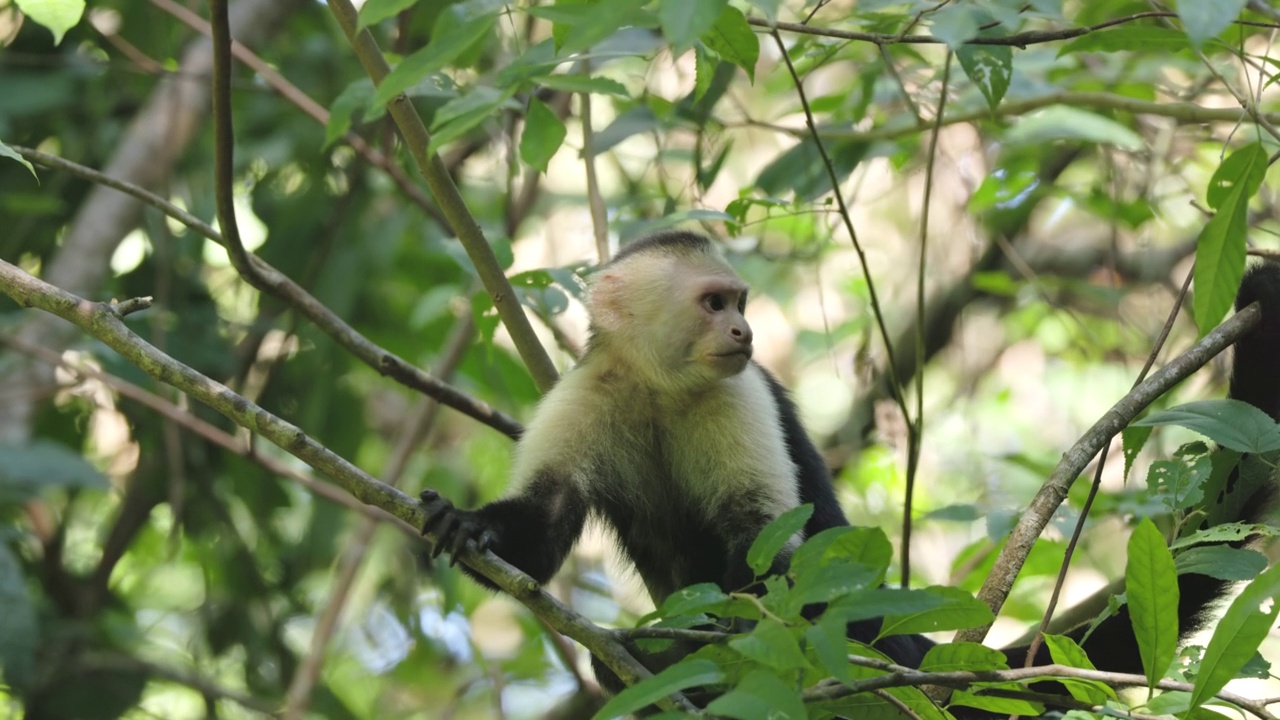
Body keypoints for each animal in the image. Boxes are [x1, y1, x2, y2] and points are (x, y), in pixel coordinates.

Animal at [419, 234, 1280, 712]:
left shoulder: (739, 394)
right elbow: (543, 530)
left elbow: (770, 549)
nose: (744, 330)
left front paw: (718, 639)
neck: (663, 390)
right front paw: (468, 525)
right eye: (712, 304)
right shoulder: (591, 390)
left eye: (738, 301)